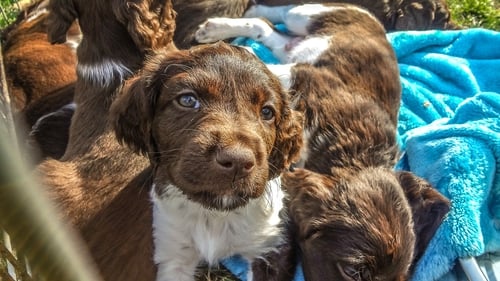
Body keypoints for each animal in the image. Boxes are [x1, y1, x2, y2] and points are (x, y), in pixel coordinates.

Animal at [111, 41, 302, 280]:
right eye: (187, 100)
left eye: (267, 112)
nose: (238, 163)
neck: (214, 213)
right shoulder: (172, 250)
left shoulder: (272, 246)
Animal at [194, 3, 450, 278]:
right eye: (353, 272)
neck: (354, 152)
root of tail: (375, 21)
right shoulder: (303, 77)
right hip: (306, 16)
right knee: (277, 15)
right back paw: (224, 25)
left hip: (295, 44)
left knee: (267, 30)